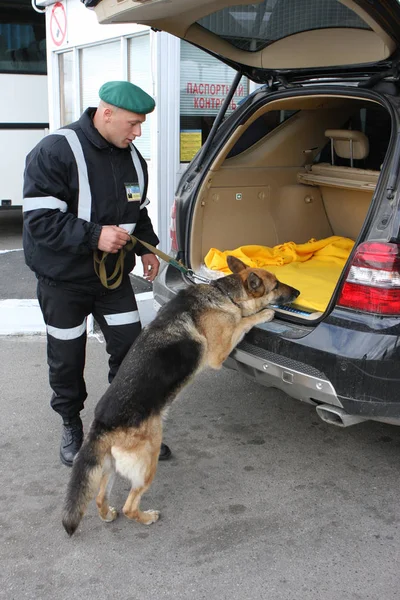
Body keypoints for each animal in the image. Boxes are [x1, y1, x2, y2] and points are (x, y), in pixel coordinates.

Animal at [62, 255, 298, 536]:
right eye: (277, 285)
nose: (298, 293)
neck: (226, 294)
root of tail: (102, 424)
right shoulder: (219, 351)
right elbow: (243, 320)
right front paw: (263, 313)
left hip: (112, 468)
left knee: (99, 497)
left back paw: (108, 514)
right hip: (148, 462)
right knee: (130, 505)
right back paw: (146, 517)